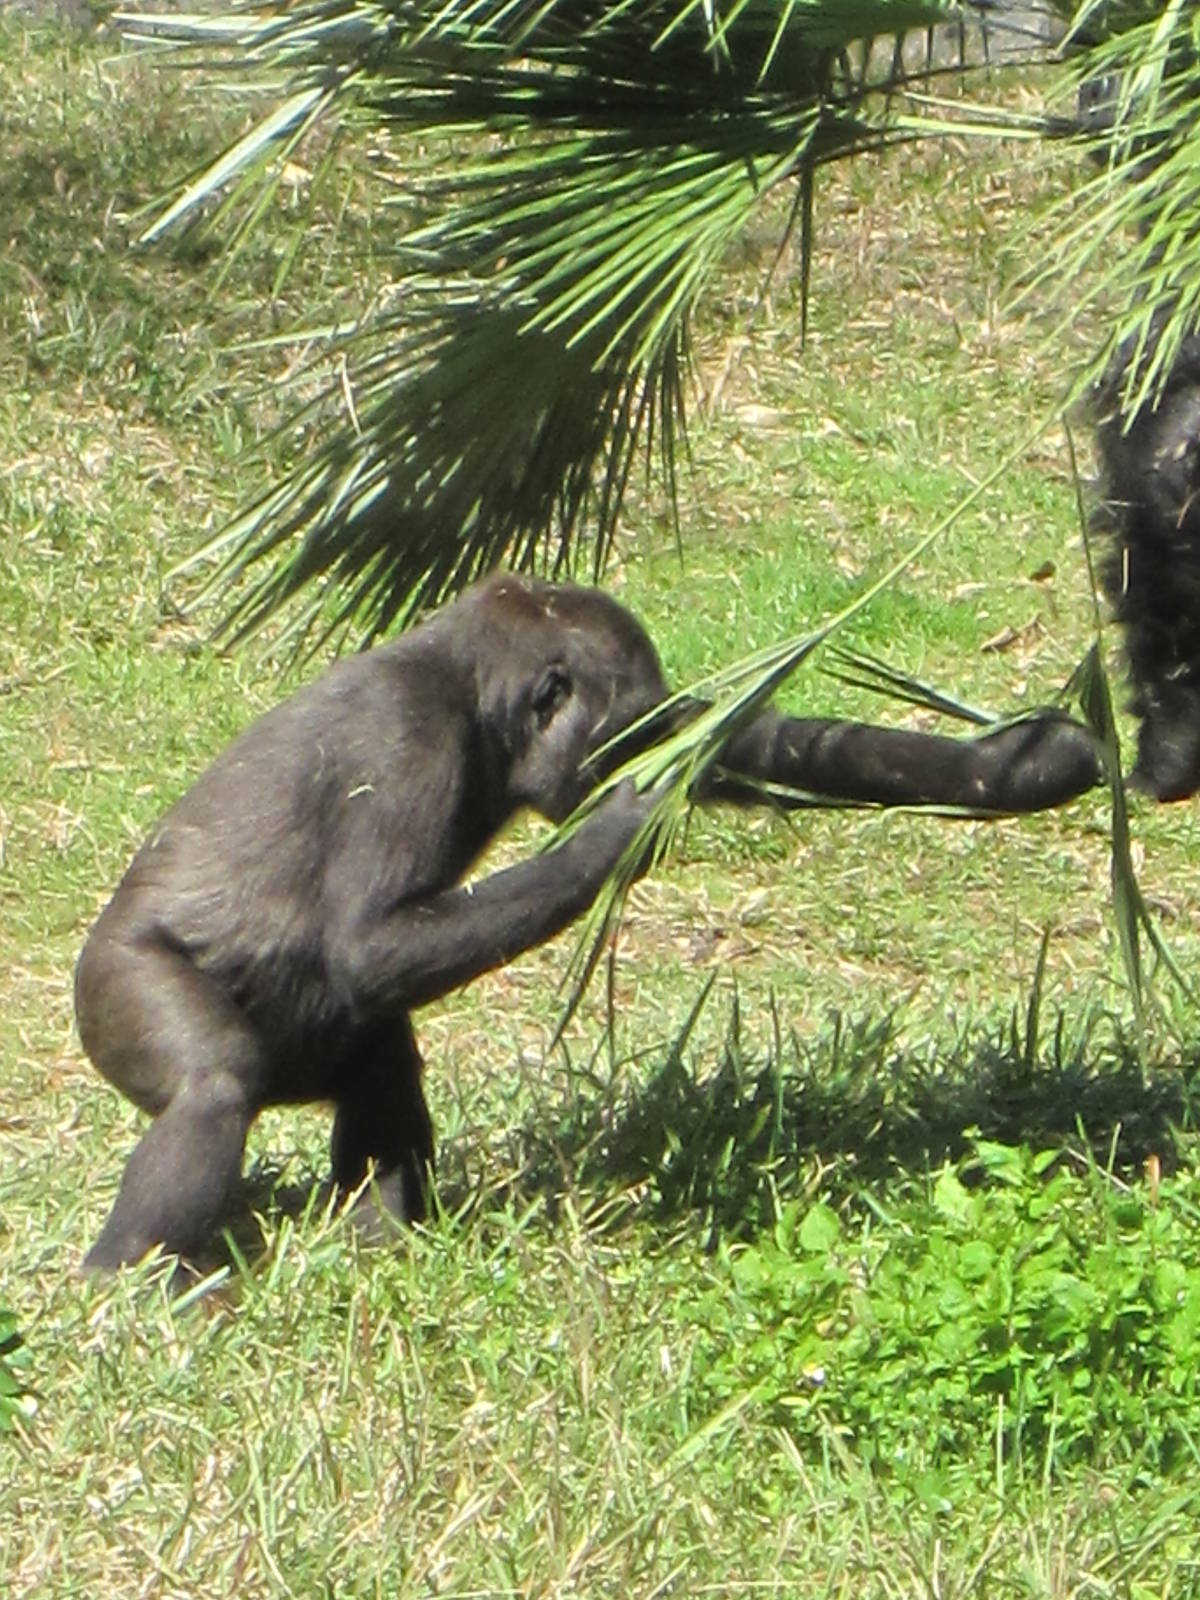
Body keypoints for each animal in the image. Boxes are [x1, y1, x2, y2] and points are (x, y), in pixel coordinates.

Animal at [75, 572, 1102, 1270]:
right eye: (620, 729)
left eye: (648, 726)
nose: (632, 757)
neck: (465, 690)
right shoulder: (406, 738)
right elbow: (368, 943)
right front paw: (623, 825)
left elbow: (772, 739)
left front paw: (1027, 761)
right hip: (113, 986)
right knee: (213, 1084)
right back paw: (128, 1281)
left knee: (376, 1060)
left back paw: (375, 1239)